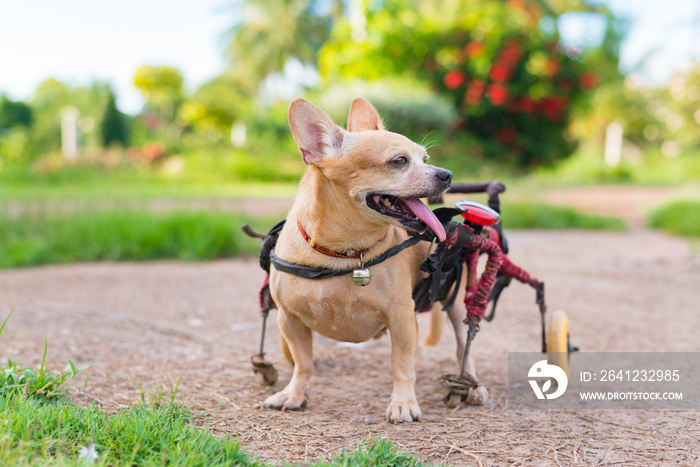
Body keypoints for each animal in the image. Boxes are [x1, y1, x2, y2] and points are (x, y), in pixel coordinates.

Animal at [262, 98, 486, 424]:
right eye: (399, 161)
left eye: (426, 158)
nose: (447, 174)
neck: (344, 251)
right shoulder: (289, 319)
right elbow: (303, 362)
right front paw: (294, 393)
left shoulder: (402, 319)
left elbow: (401, 365)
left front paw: (403, 403)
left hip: (457, 305)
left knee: (464, 348)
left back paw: (472, 385)